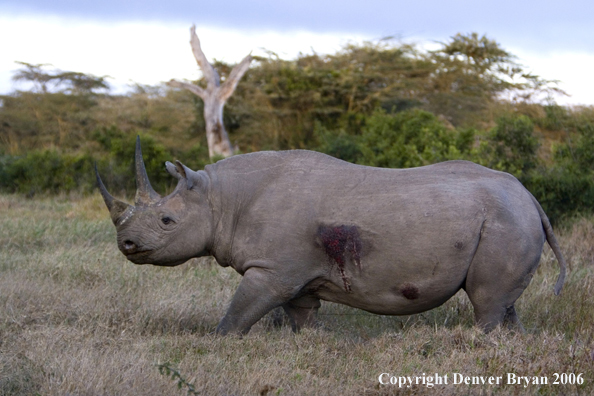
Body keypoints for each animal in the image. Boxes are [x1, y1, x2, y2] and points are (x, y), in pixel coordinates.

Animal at [95, 138, 560, 334]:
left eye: (166, 222)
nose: (126, 245)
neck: (221, 198)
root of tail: (532, 199)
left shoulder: (271, 271)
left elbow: (237, 314)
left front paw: (218, 343)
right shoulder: (291, 270)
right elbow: (300, 313)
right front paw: (310, 341)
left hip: (505, 221)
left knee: (486, 301)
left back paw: (480, 342)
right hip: (509, 220)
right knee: (503, 302)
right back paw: (511, 344)